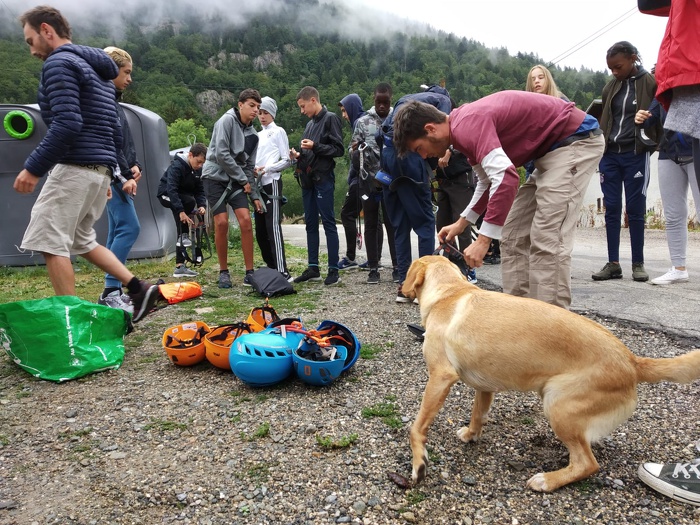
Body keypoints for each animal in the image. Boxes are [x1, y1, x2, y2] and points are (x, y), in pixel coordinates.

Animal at [402, 256, 700, 494]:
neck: (450, 292)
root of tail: (631, 361)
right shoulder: (484, 387)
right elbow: (478, 414)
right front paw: (471, 435)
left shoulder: (440, 377)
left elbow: (416, 428)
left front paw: (419, 464)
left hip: (558, 406)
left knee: (587, 464)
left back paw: (547, 480)